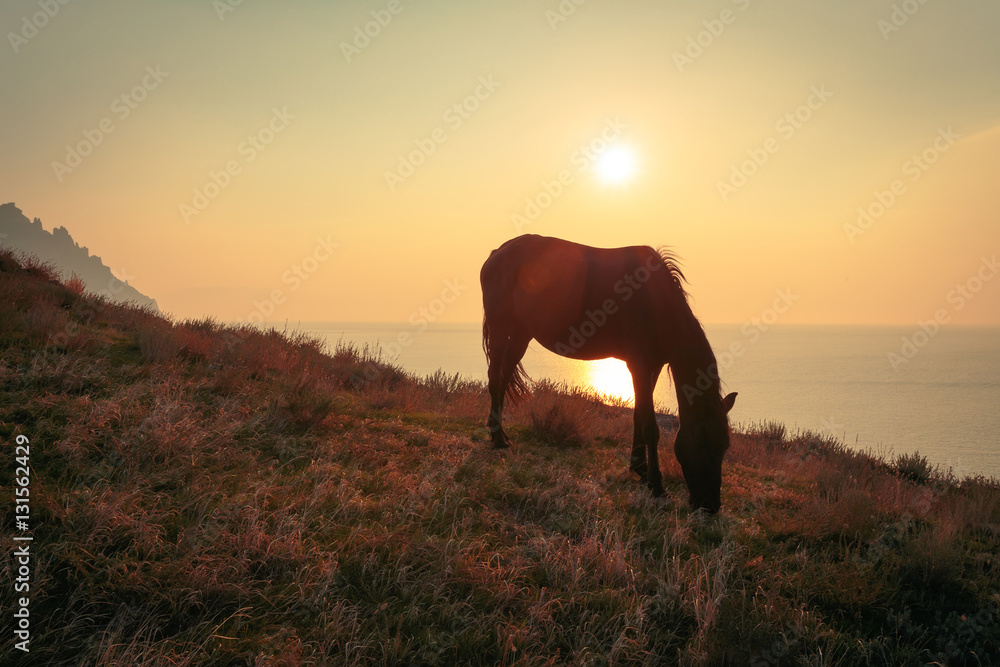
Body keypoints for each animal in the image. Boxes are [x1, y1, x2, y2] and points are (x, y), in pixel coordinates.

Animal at [480, 234, 736, 513]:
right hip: (501, 325)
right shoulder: (638, 365)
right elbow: (650, 426)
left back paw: (501, 433)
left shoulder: (652, 366)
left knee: (504, 376)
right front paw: (656, 486)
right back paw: (497, 439)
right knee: (495, 378)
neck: (654, 302)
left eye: (725, 446)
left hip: (521, 332)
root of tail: (498, 252)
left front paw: (639, 469)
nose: (710, 505)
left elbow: (638, 414)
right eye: (703, 442)